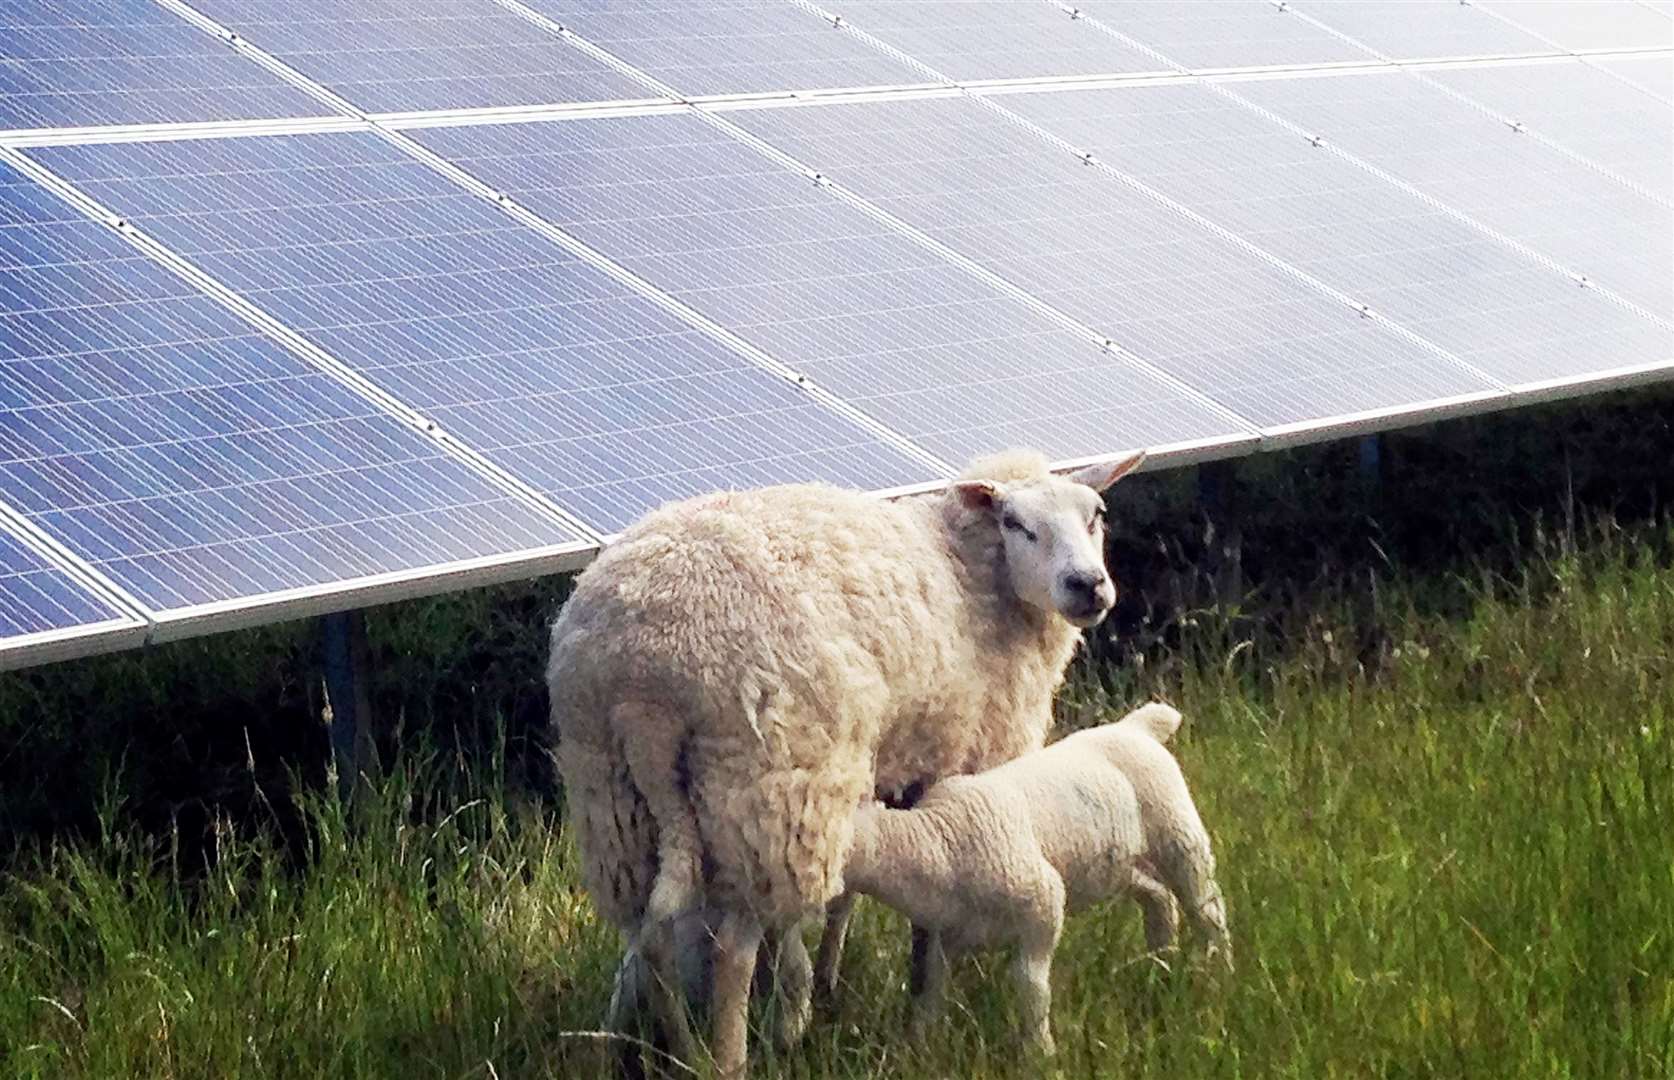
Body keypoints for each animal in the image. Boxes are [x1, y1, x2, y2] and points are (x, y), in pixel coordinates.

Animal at [549, 445, 1151, 1071]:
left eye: (1096, 515)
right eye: (1017, 524)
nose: (1087, 585)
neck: (974, 570)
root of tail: (642, 681)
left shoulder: (888, 770)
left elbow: (847, 896)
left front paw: (831, 980)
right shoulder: (960, 763)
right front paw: (924, 999)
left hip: (616, 802)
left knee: (651, 937)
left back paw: (677, 1048)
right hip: (763, 786)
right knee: (733, 948)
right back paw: (729, 1059)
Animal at [850, 696, 1232, 1051]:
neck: (938, 840)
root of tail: (1136, 726)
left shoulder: (1043, 904)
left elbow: (1030, 985)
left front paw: (1040, 1051)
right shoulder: (945, 937)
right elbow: (931, 987)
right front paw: (921, 1043)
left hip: (1178, 835)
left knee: (1207, 909)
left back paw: (1217, 970)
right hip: (1119, 863)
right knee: (1159, 897)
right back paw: (1161, 958)